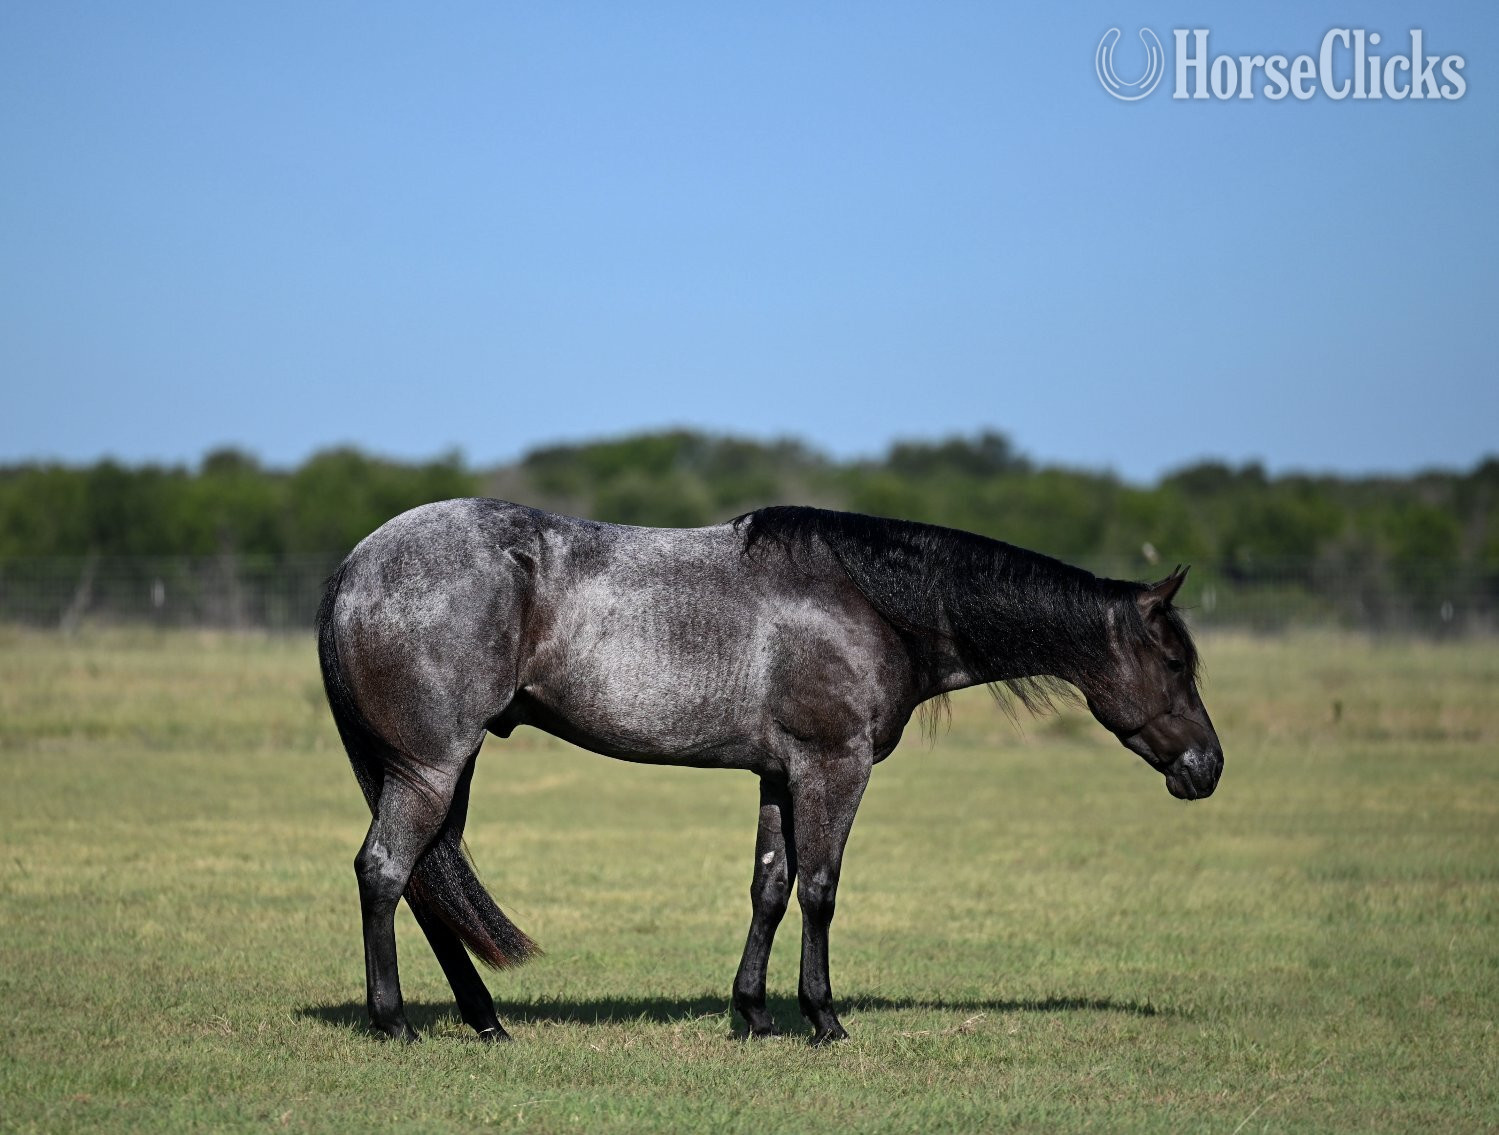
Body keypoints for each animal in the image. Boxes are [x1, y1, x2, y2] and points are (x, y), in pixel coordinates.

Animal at [315, 499, 1222, 1045]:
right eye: (1174, 661)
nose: (1207, 766)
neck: (868, 601)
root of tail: (355, 562)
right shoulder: (833, 765)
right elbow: (820, 887)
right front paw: (823, 1017)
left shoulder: (778, 773)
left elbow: (770, 885)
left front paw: (751, 1012)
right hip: (431, 765)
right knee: (385, 869)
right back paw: (394, 1022)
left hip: (444, 769)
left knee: (426, 883)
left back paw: (485, 1021)